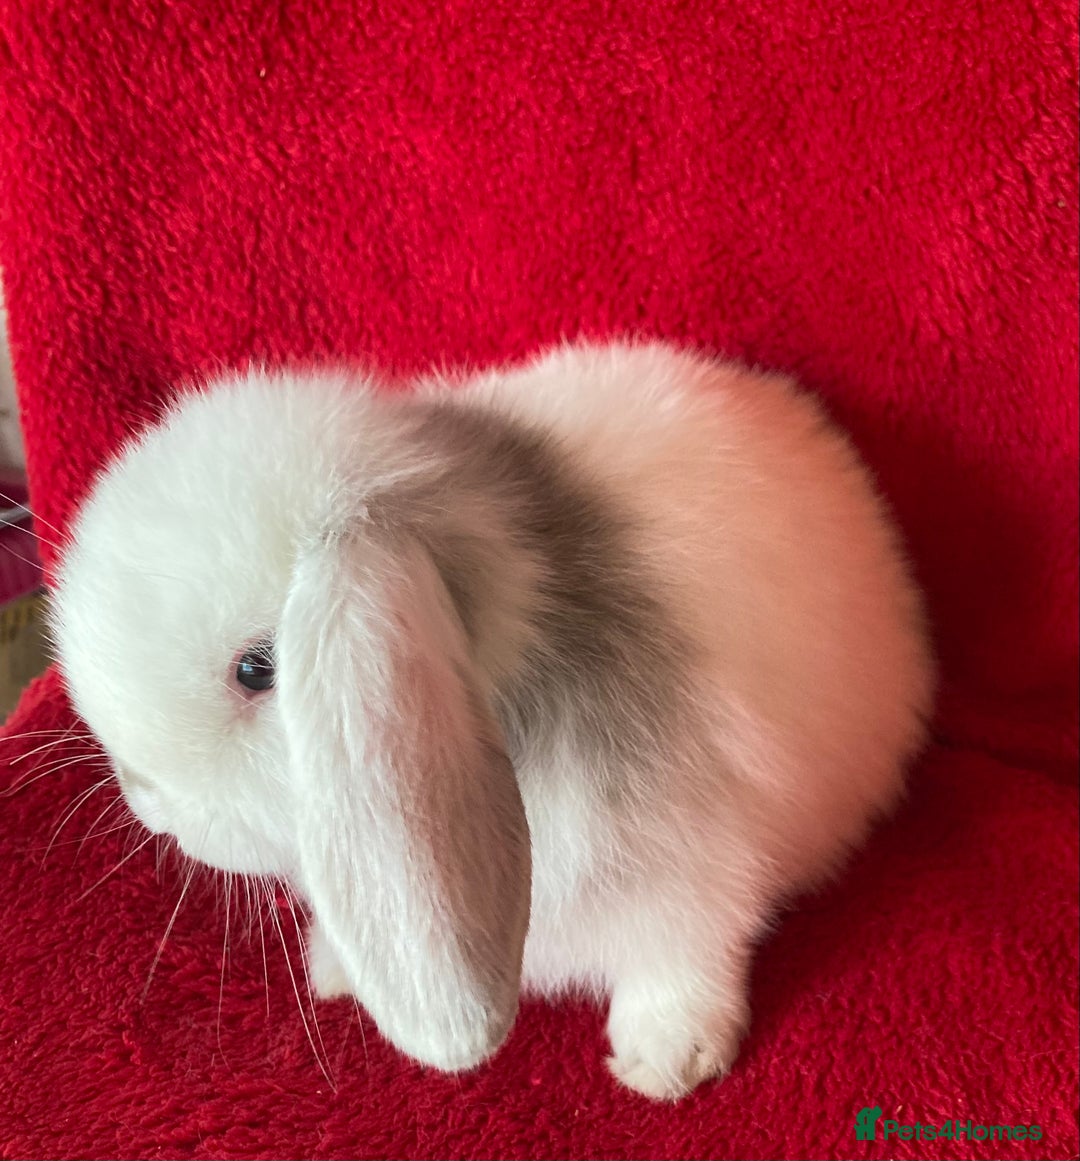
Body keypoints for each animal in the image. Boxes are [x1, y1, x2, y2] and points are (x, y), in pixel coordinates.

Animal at [49, 340, 934, 1101]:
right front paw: (336, 967)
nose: (144, 795)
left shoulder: (693, 859)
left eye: (258, 669)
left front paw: (667, 1059)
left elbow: (682, 950)